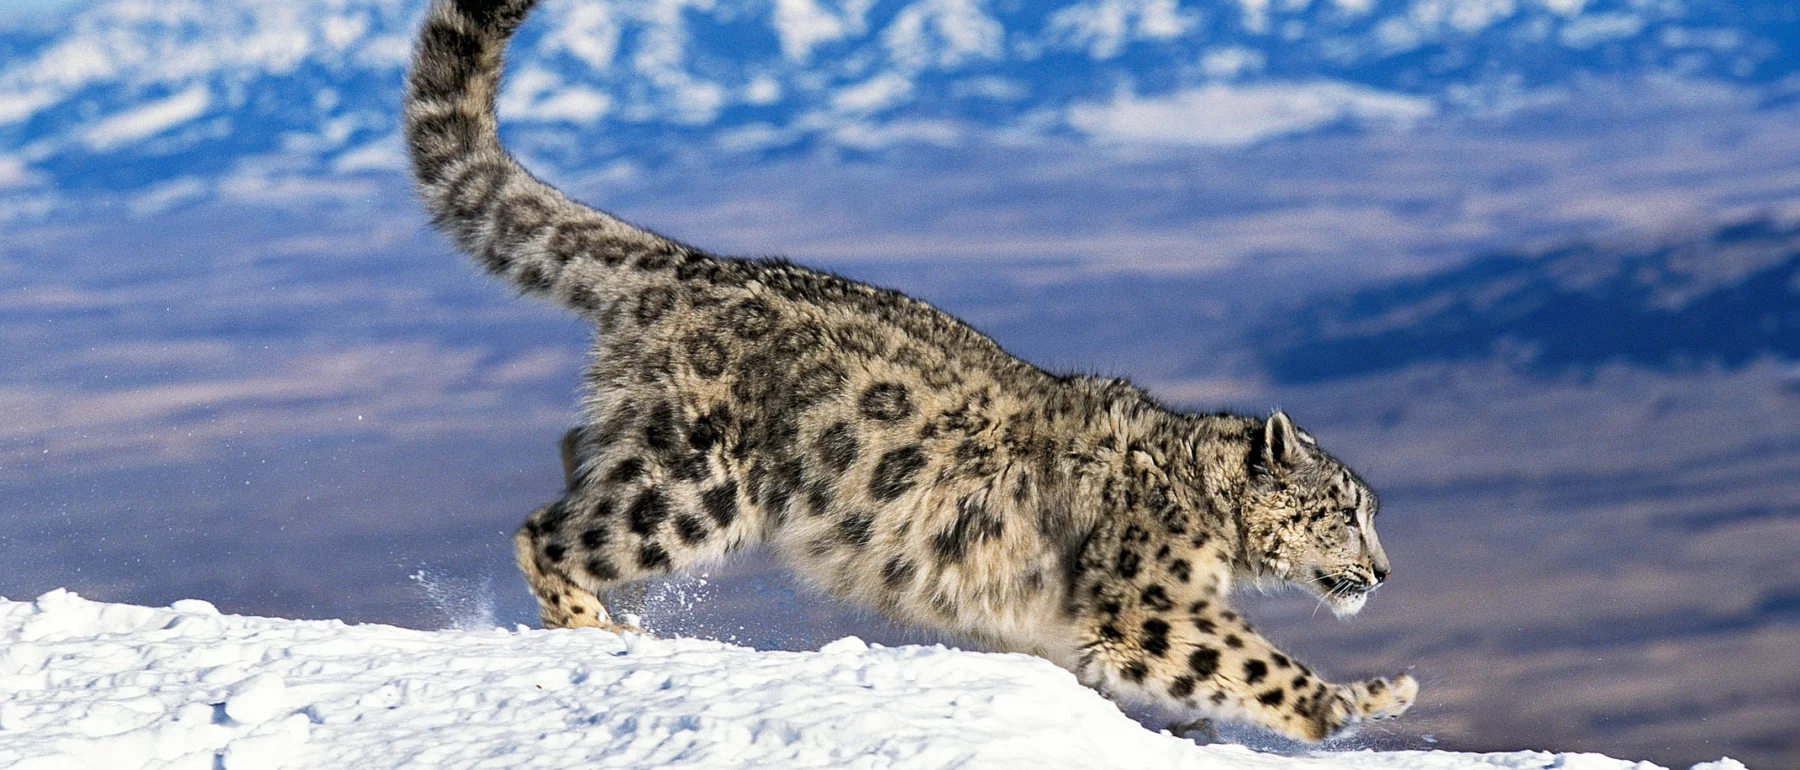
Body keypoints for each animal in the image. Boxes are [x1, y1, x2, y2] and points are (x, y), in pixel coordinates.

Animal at [403, 0, 1417, 743]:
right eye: (1345, 512)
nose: (1382, 572)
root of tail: (690, 264)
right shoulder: (1149, 600)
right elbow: (1245, 659)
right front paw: (1357, 701)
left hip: (647, 450)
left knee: (577, 455)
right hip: (693, 485)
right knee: (549, 532)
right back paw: (597, 622)